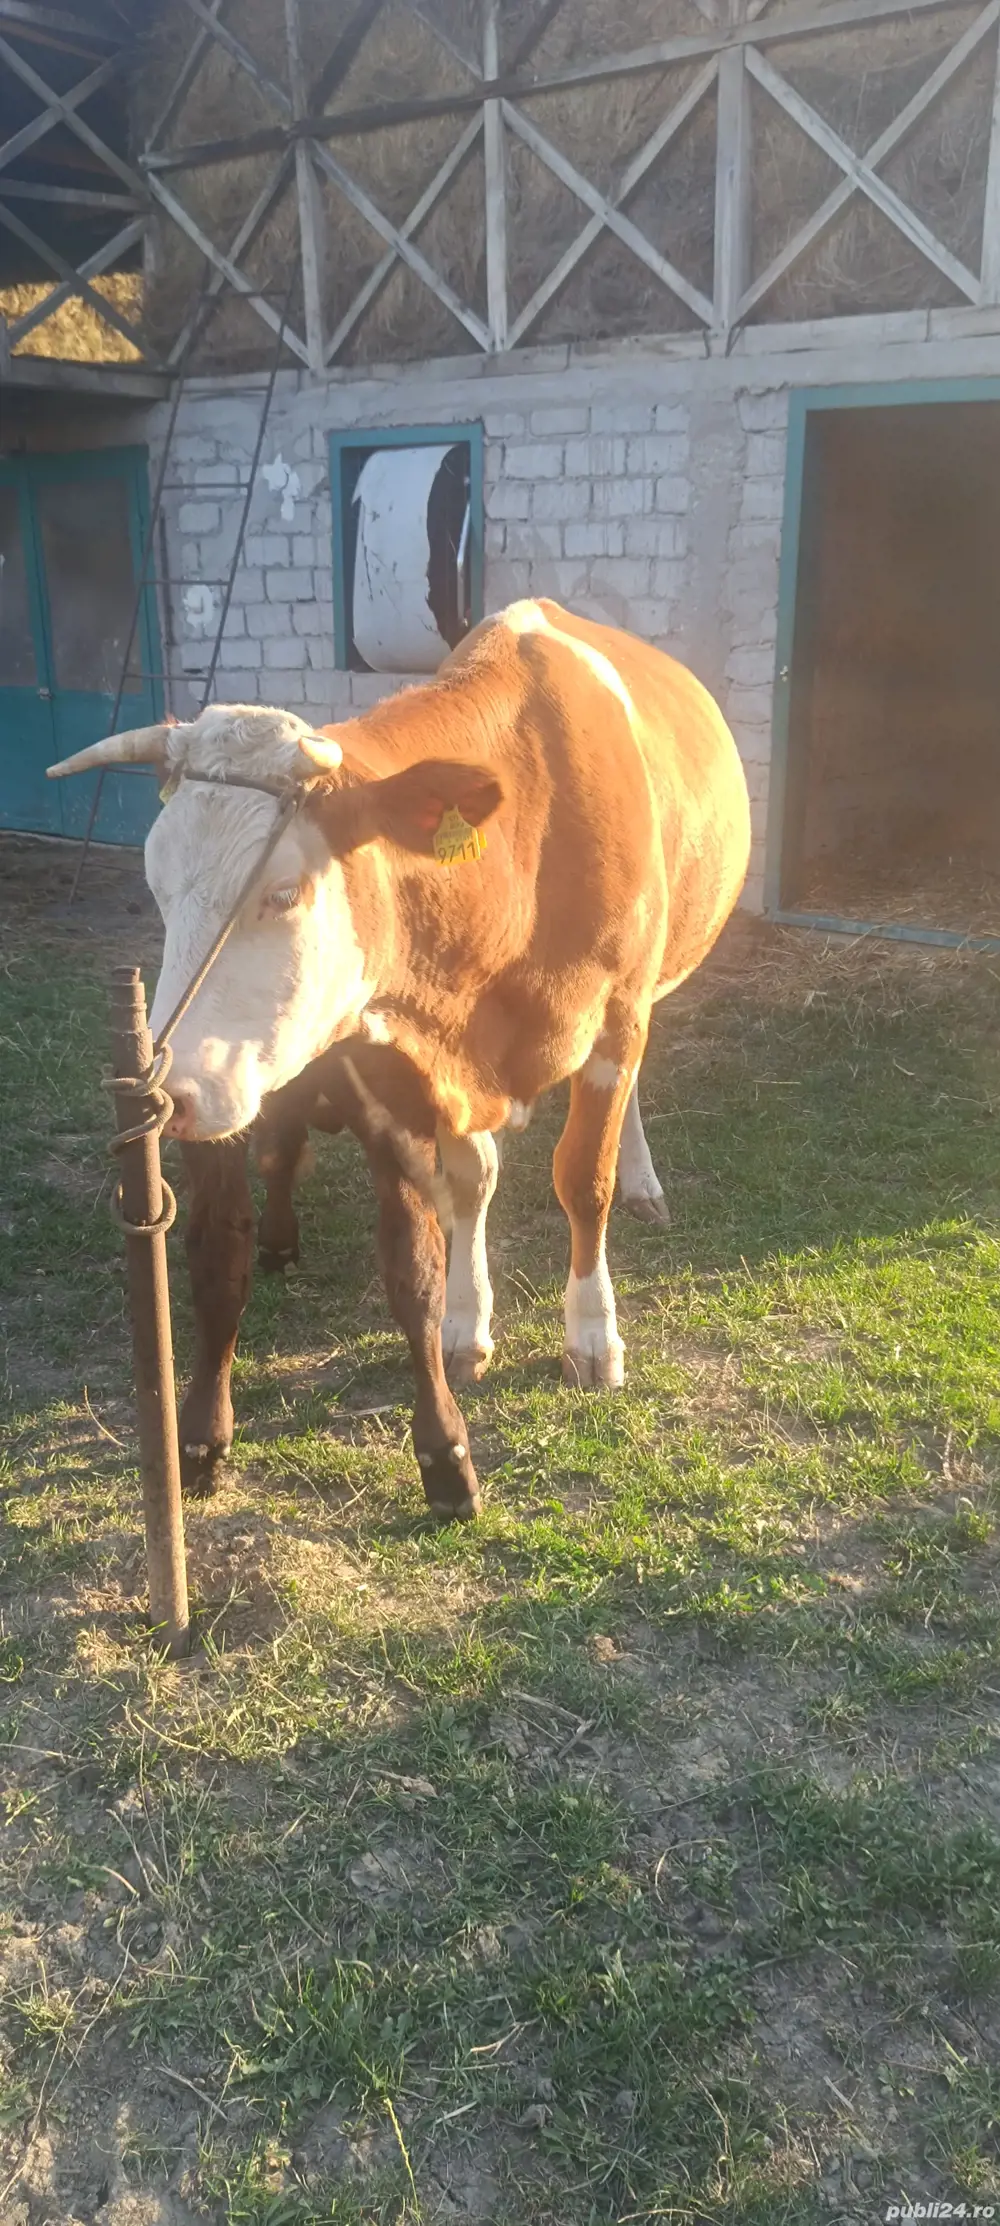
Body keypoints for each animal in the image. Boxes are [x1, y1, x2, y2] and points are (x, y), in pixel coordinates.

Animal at [49, 599, 750, 1519]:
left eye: (283, 893)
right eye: (158, 890)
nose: (169, 1093)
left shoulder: (614, 1018)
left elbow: (581, 1180)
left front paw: (593, 1332)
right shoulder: (412, 1071)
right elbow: (461, 1194)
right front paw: (464, 1323)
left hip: (651, 989)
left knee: (627, 1100)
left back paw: (642, 1180)